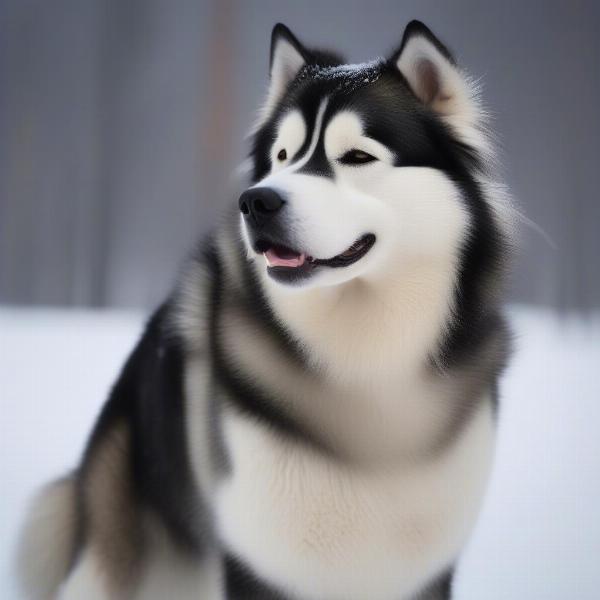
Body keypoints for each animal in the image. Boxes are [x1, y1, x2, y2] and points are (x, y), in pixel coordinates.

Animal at [18, 19, 512, 600]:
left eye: (357, 157)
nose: (256, 202)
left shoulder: (422, 567)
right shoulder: (259, 558)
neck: (364, 373)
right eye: (281, 157)